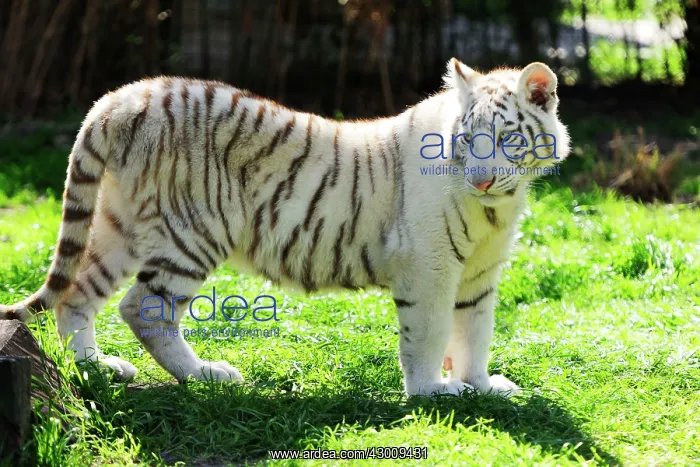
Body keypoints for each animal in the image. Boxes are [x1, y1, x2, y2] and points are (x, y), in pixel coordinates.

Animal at [0, 58, 569, 397]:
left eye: (506, 139)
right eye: (468, 138)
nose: (481, 179)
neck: (496, 208)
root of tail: (123, 97)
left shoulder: (479, 272)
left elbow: (475, 330)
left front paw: (483, 385)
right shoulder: (428, 266)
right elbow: (429, 333)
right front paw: (433, 392)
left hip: (120, 225)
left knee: (77, 293)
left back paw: (96, 368)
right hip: (194, 231)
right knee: (144, 309)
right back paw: (207, 376)